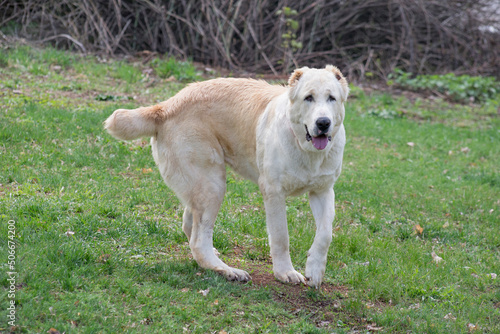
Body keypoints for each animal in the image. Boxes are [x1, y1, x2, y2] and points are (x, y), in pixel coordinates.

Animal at [104, 65, 350, 288]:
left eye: (331, 98)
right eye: (308, 98)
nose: (323, 123)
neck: (306, 150)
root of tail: (165, 106)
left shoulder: (323, 191)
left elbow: (325, 234)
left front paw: (314, 271)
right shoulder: (273, 193)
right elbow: (281, 237)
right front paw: (285, 272)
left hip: (203, 185)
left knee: (191, 225)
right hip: (212, 184)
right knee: (198, 240)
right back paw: (227, 270)